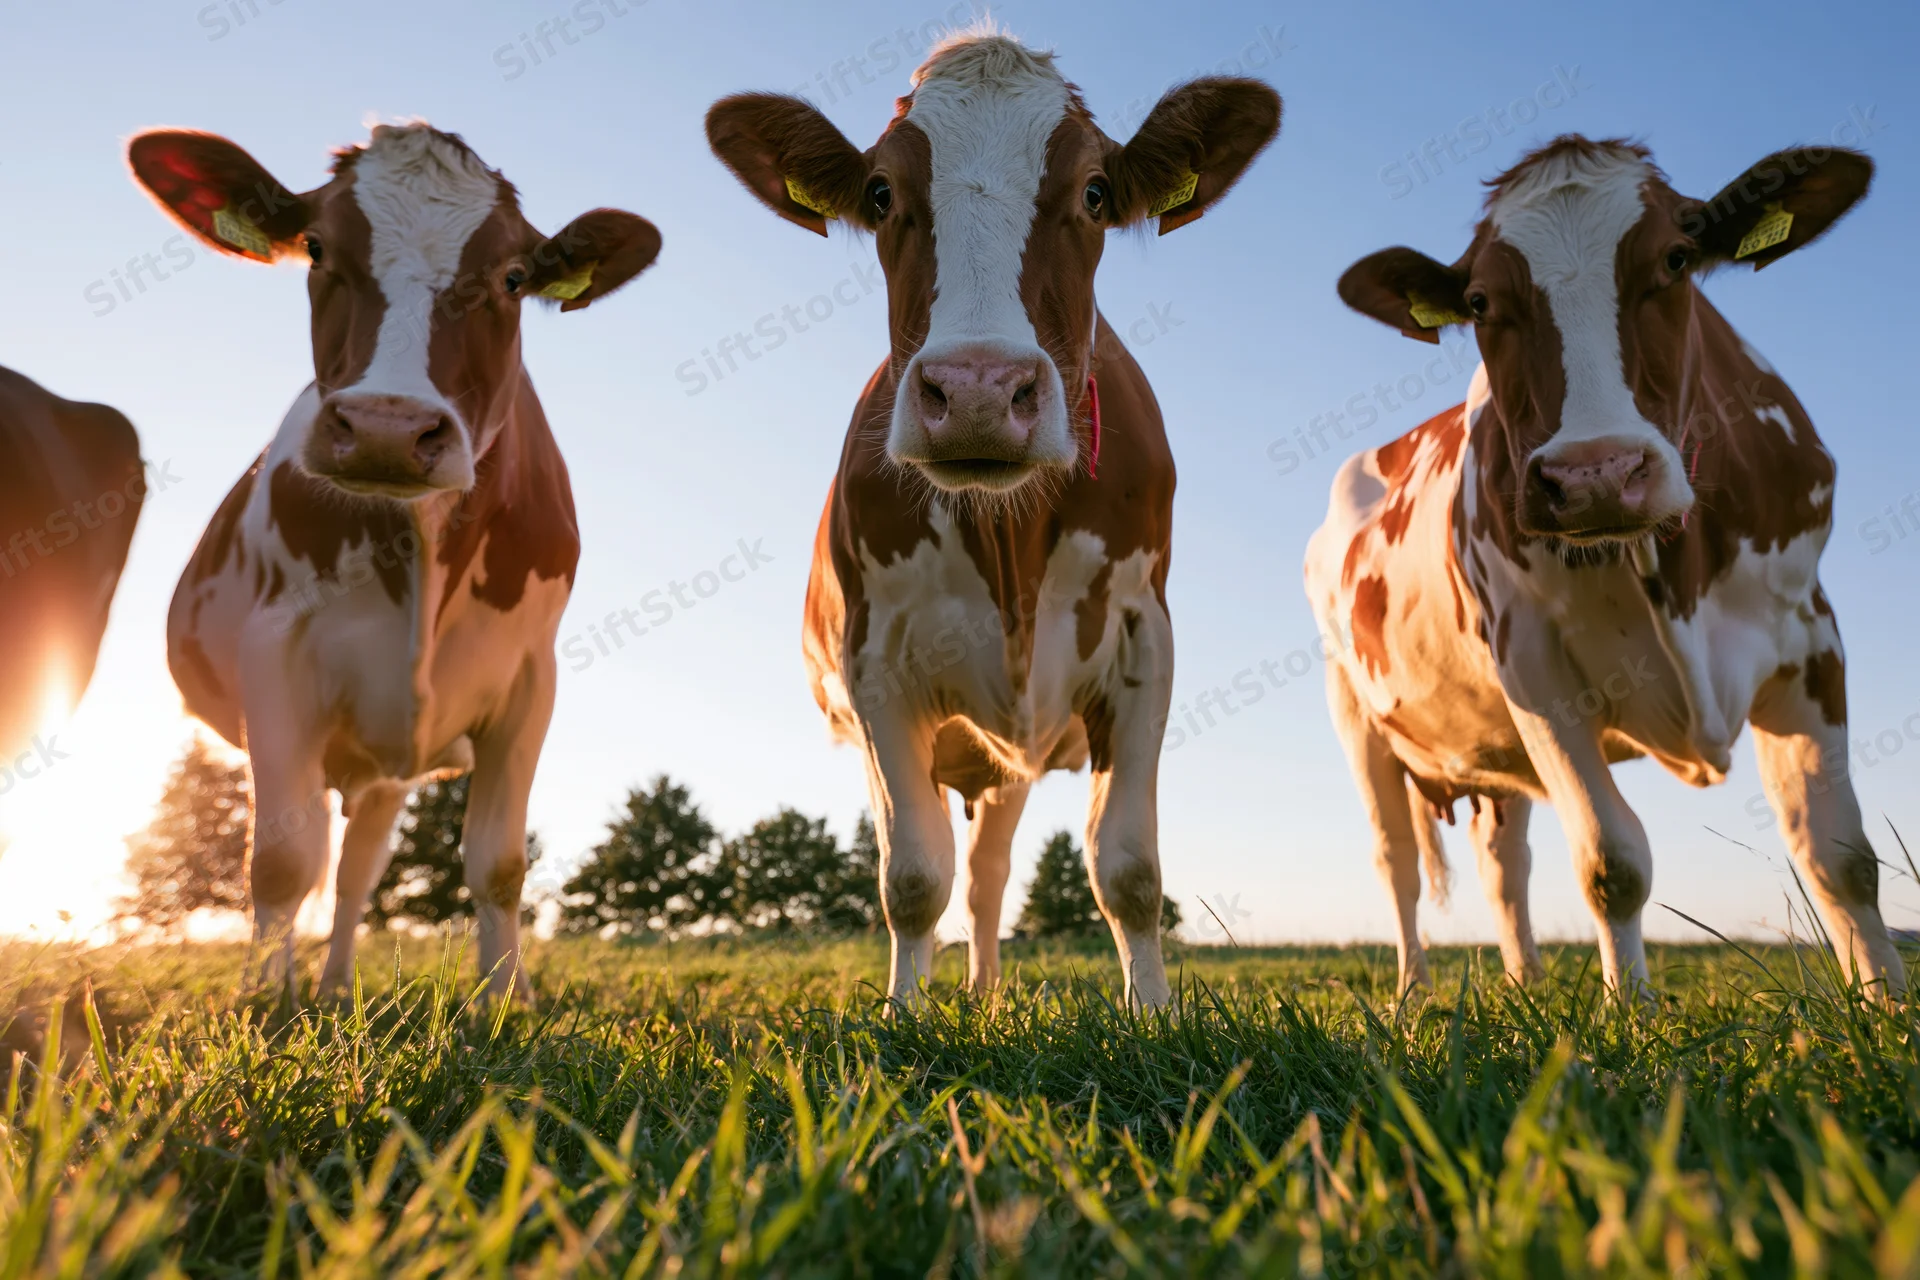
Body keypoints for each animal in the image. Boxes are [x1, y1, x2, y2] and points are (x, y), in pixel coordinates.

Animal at [128, 122, 660, 999]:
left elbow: (498, 864)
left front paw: (503, 1001)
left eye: (514, 276)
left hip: (389, 766)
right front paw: (263, 1002)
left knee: (358, 872)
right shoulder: (275, 659)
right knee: (324, 856)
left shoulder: (529, 676)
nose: (387, 426)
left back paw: (340, 987)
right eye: (316, 247)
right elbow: (281, 861)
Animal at [707, 32, 1279, 1008]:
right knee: (965, 871)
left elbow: (1129, 868)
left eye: (1095, 192)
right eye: (880, 192)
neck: (1010, 538)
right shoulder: (875, 664)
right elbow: (911, 875)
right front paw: (901, 1013)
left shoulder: (1143, 638)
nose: (977, 391)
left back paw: (984, 991)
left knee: (989, 874)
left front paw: (1155, 1014)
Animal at [1309, 134, 1904, 999]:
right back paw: (1412, 998)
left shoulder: (1810, 638)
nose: (1596, 473)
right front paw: (1634, 1015)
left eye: (1678, 258)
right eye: (1480, 302)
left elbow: (1843, 858)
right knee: (1398, 865)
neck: (1673, 572)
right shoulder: (1532, 667)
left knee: (1503, 863)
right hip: (1356, 713)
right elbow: (1612, 864)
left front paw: (1886, 1007)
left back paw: (1525, 985)